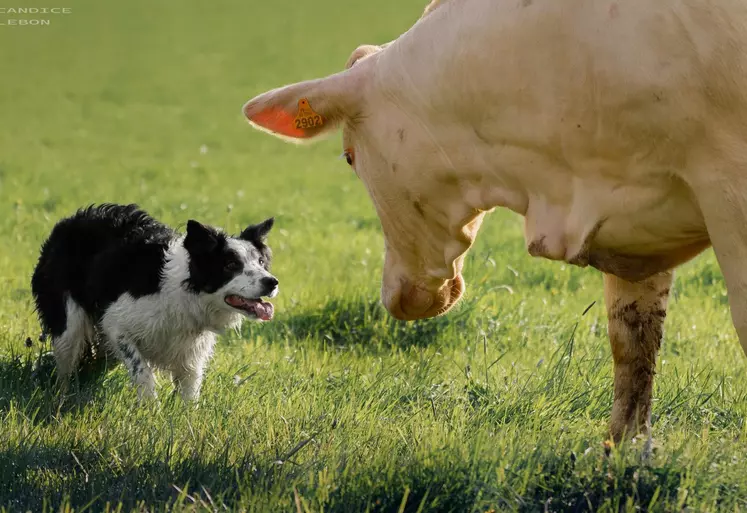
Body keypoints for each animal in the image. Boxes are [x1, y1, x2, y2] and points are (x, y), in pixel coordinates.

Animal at [30, 204, 280, 400]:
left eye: (260, 262)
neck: (183, 292)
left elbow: (190, 392)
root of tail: (68, 222)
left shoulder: (191, 352)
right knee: (65, 368)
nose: (272, 282)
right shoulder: (115, 324)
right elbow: (142, 370)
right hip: (69, 326)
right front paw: (151, 408)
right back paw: (62, 399)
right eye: (230, 265)